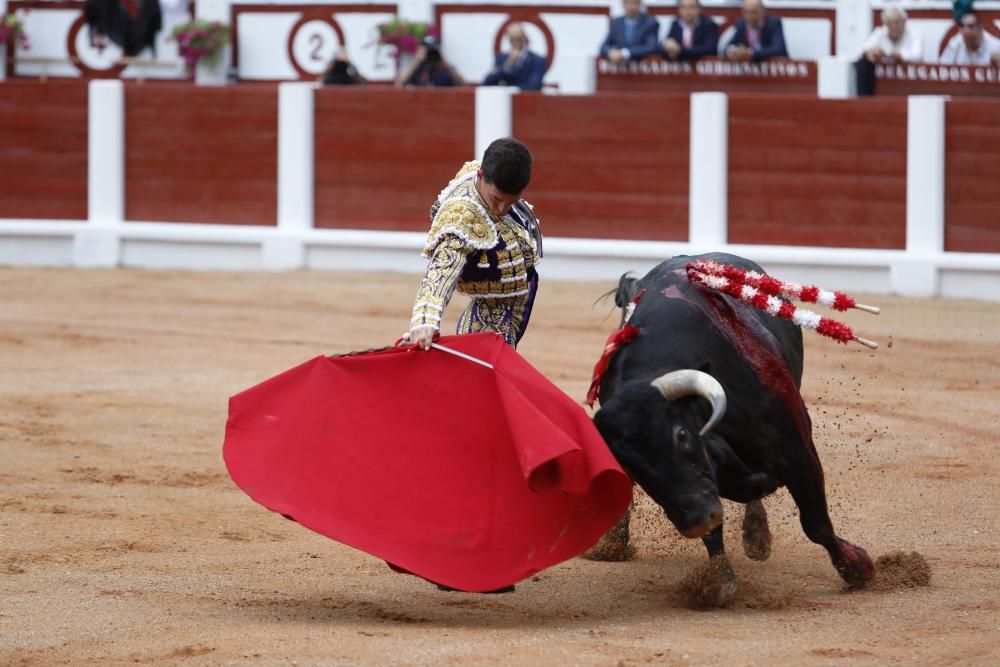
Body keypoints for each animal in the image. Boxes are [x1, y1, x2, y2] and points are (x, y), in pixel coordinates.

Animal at [588, 252, 872, 604]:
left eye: (681, 435)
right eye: (632, 468)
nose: (695, 521)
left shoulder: (797, 447)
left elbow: (815, 522)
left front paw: (857, 567)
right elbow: (717, 521)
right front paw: (718, 580)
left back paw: (758, 536)